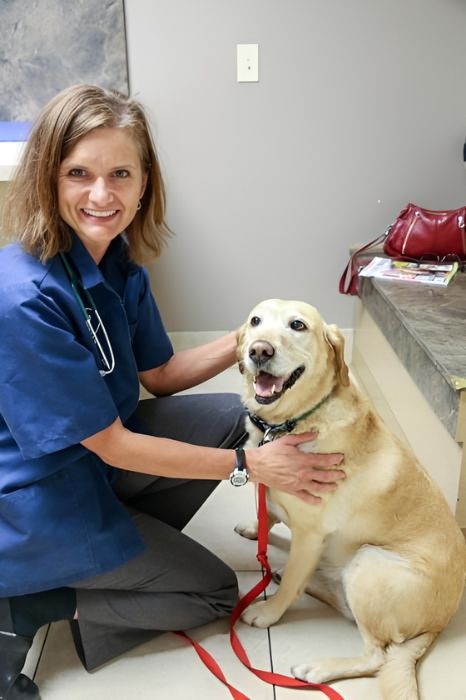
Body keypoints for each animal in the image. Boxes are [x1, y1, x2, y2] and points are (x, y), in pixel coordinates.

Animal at [237, 298, 466, 700]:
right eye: (255, 321)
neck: (294, 421)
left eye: (297, 325)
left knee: (376, 655)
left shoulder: (310, 534)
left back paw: (318, 666)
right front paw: (255, 527)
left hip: (369, 563)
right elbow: (270, 511)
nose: (259, 351)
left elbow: (291, 576)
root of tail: (439, 622)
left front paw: (268, 613)